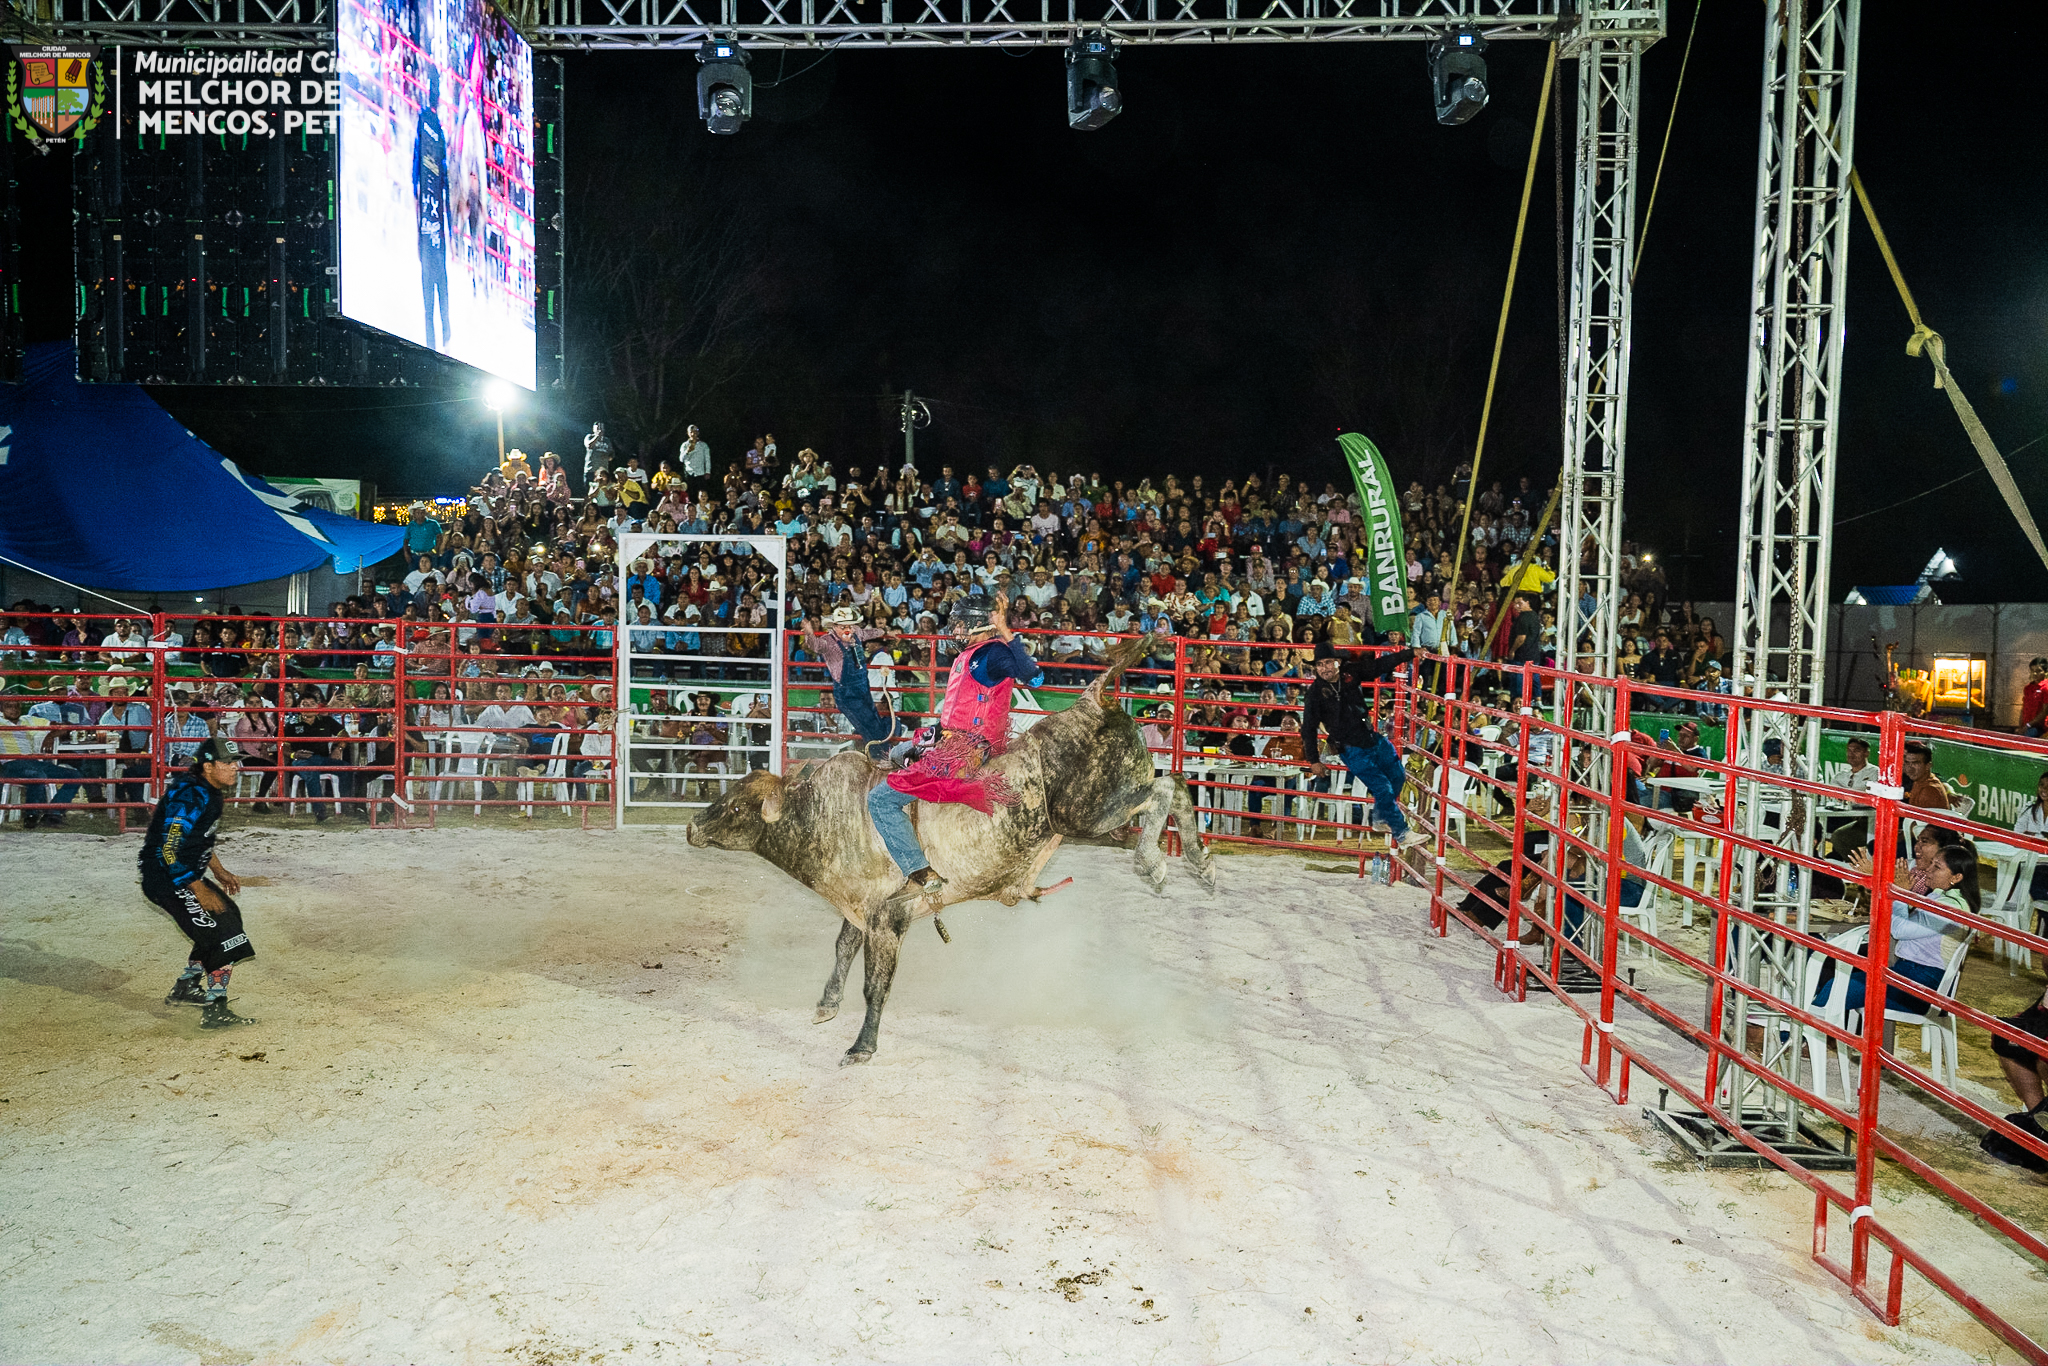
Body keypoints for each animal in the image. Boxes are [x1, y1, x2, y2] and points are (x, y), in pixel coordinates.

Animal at [687, 634, 1213, 1064]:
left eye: (735, 807)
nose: (692, 827)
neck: (826, 815)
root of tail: (1091, 702)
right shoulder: (861, 908)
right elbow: (841, 950)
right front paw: (826, 1004)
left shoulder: (888, 916)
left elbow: (874, 984)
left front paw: (861, 1047)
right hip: (1098, 815)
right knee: (1176, 786)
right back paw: (1199, 863)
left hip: (1085, 813)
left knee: (1162, 790)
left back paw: (1155, 863)